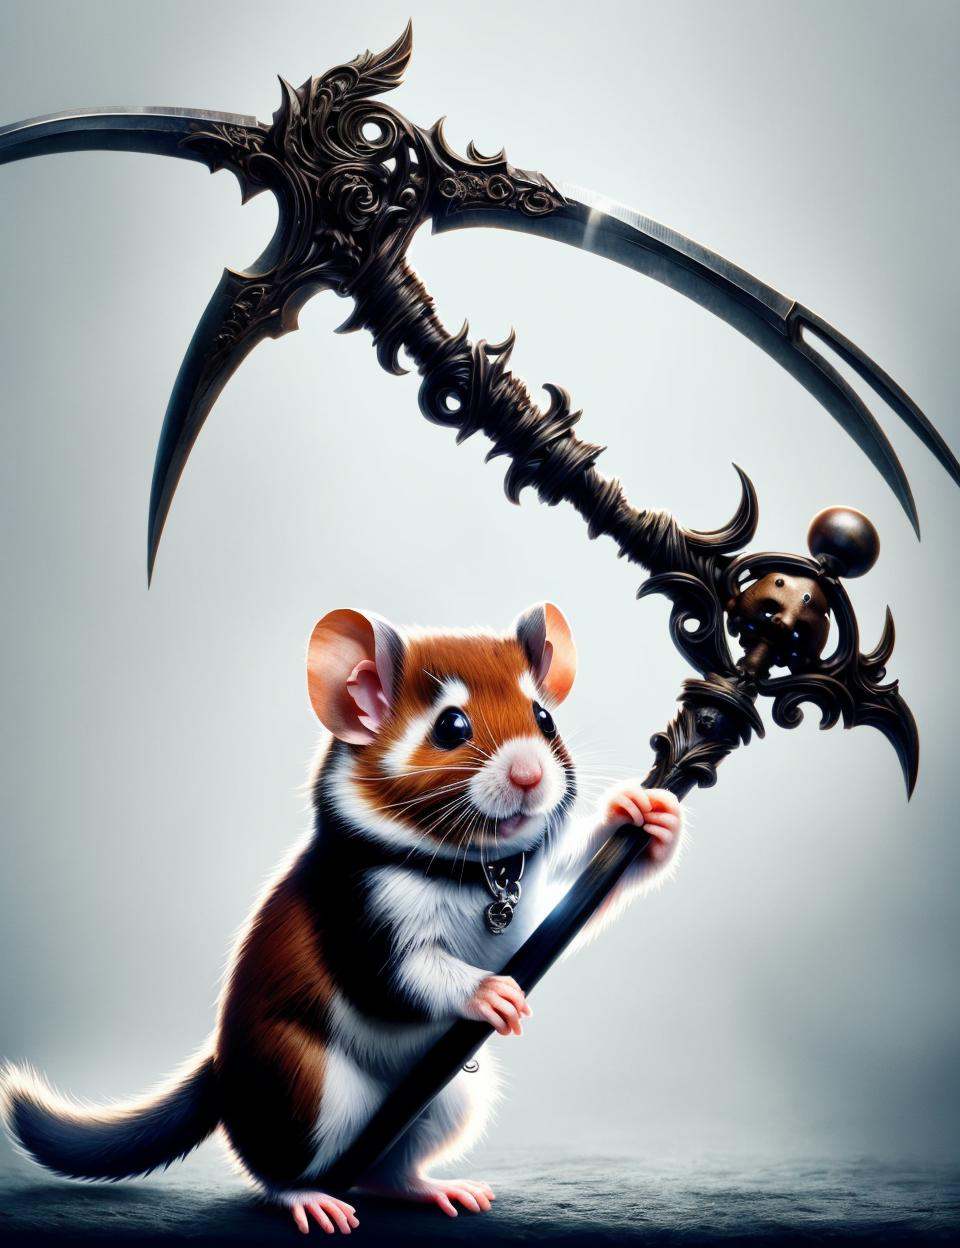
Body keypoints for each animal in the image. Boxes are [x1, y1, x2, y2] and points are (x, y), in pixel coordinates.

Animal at [0, 602, 682, 1234]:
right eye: (451, 726)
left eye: (544, 718)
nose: (530, 774)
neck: (469, 866)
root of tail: (221, 1071)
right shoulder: (364, 916)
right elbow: (401, 977)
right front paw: (491, 994)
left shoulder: (534, 885)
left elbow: (577, 881)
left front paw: (644, 812)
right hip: (308, 1091)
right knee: (273, 1173)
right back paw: (308, 1199)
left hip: (450, 1098)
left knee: (388, 1170)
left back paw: (433, 1190)